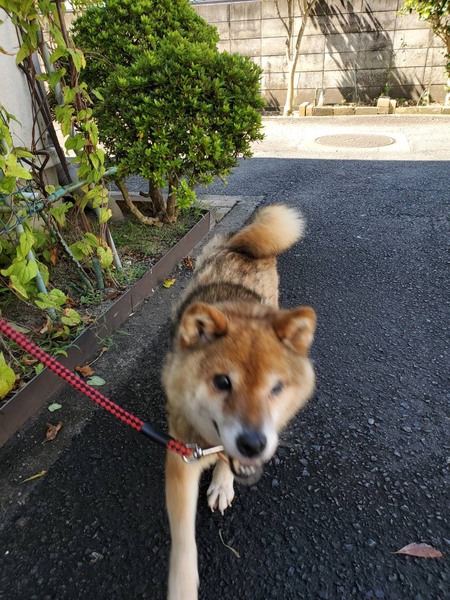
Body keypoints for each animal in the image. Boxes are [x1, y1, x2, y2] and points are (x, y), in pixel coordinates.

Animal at [162, 204, 316, 600]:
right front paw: (182, 585)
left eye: (276, 387)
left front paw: (222, 483)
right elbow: (183, 541)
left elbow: (225, 465)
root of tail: (239, 244)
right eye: (222, 382)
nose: (254, 443)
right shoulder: (182, 456)